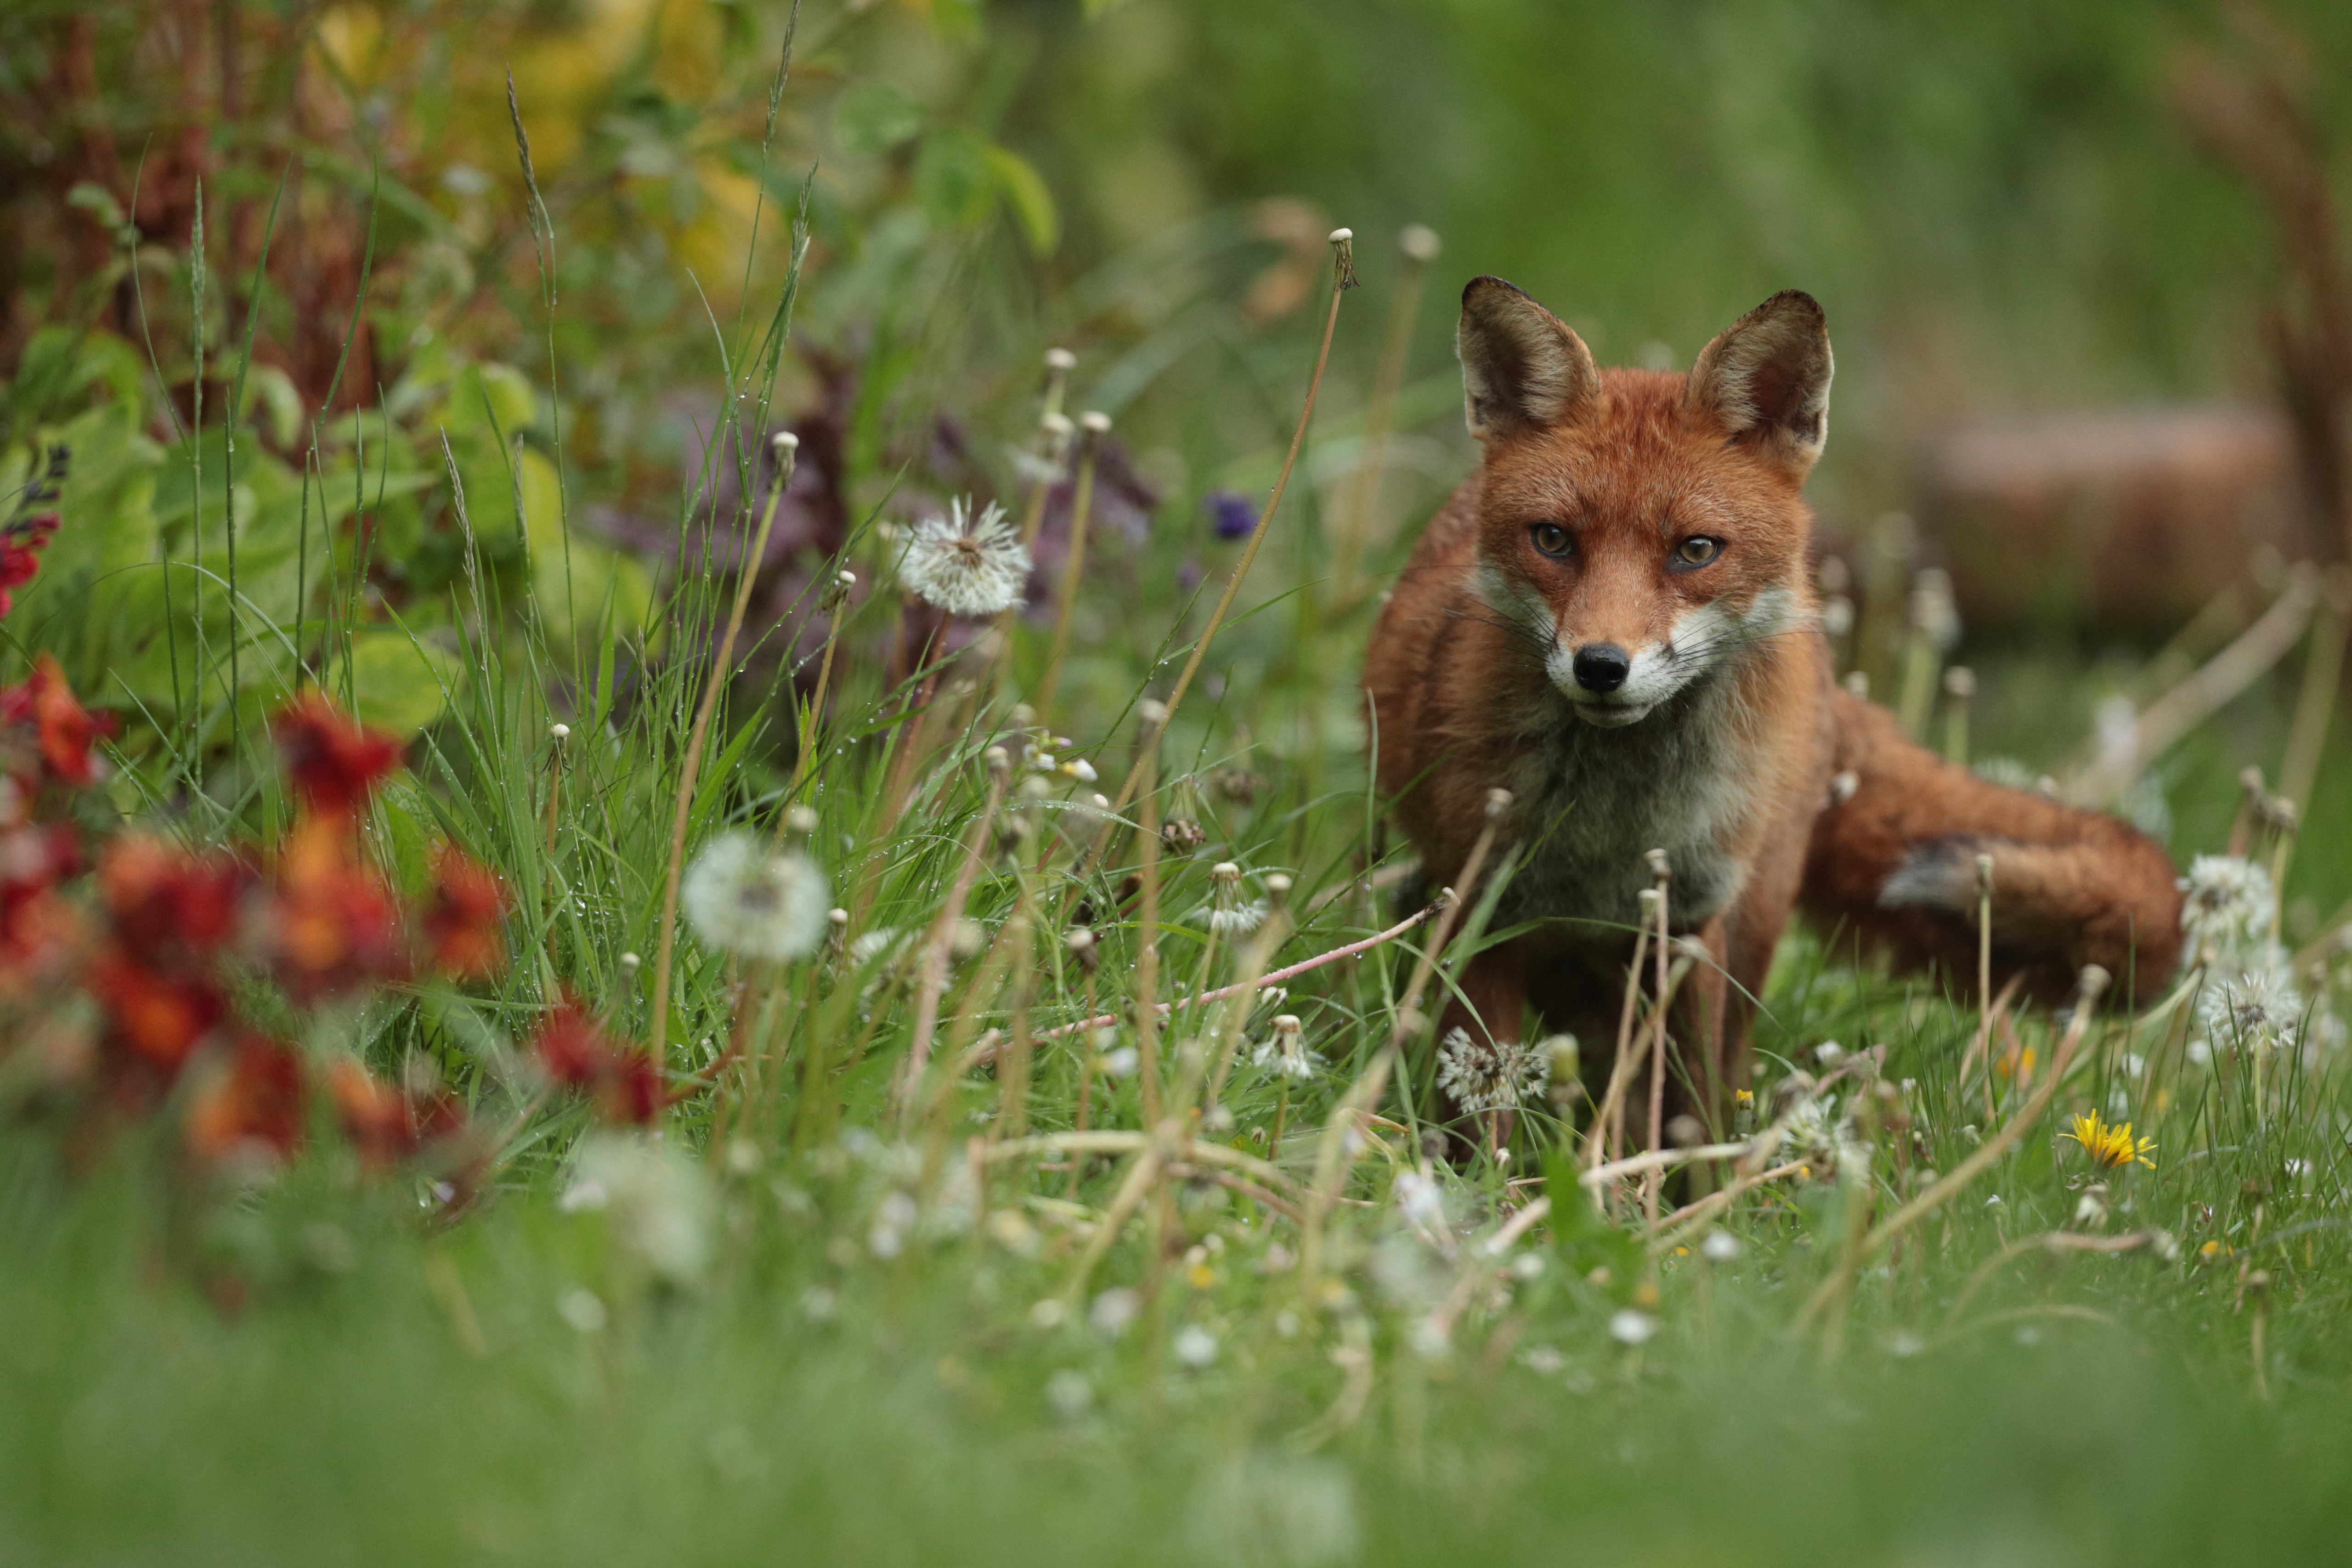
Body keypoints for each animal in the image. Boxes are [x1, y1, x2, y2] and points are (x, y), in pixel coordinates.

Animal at [1364, 272, 2182, 1128]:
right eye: (1552, 539)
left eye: (1695, 550)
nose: (1601, 666)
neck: (1610, 834)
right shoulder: (1479, 911)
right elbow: (1482, 1102)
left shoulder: (1691, 925)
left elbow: (1684, 1110)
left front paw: (1677, 1174)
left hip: (1746, 927)